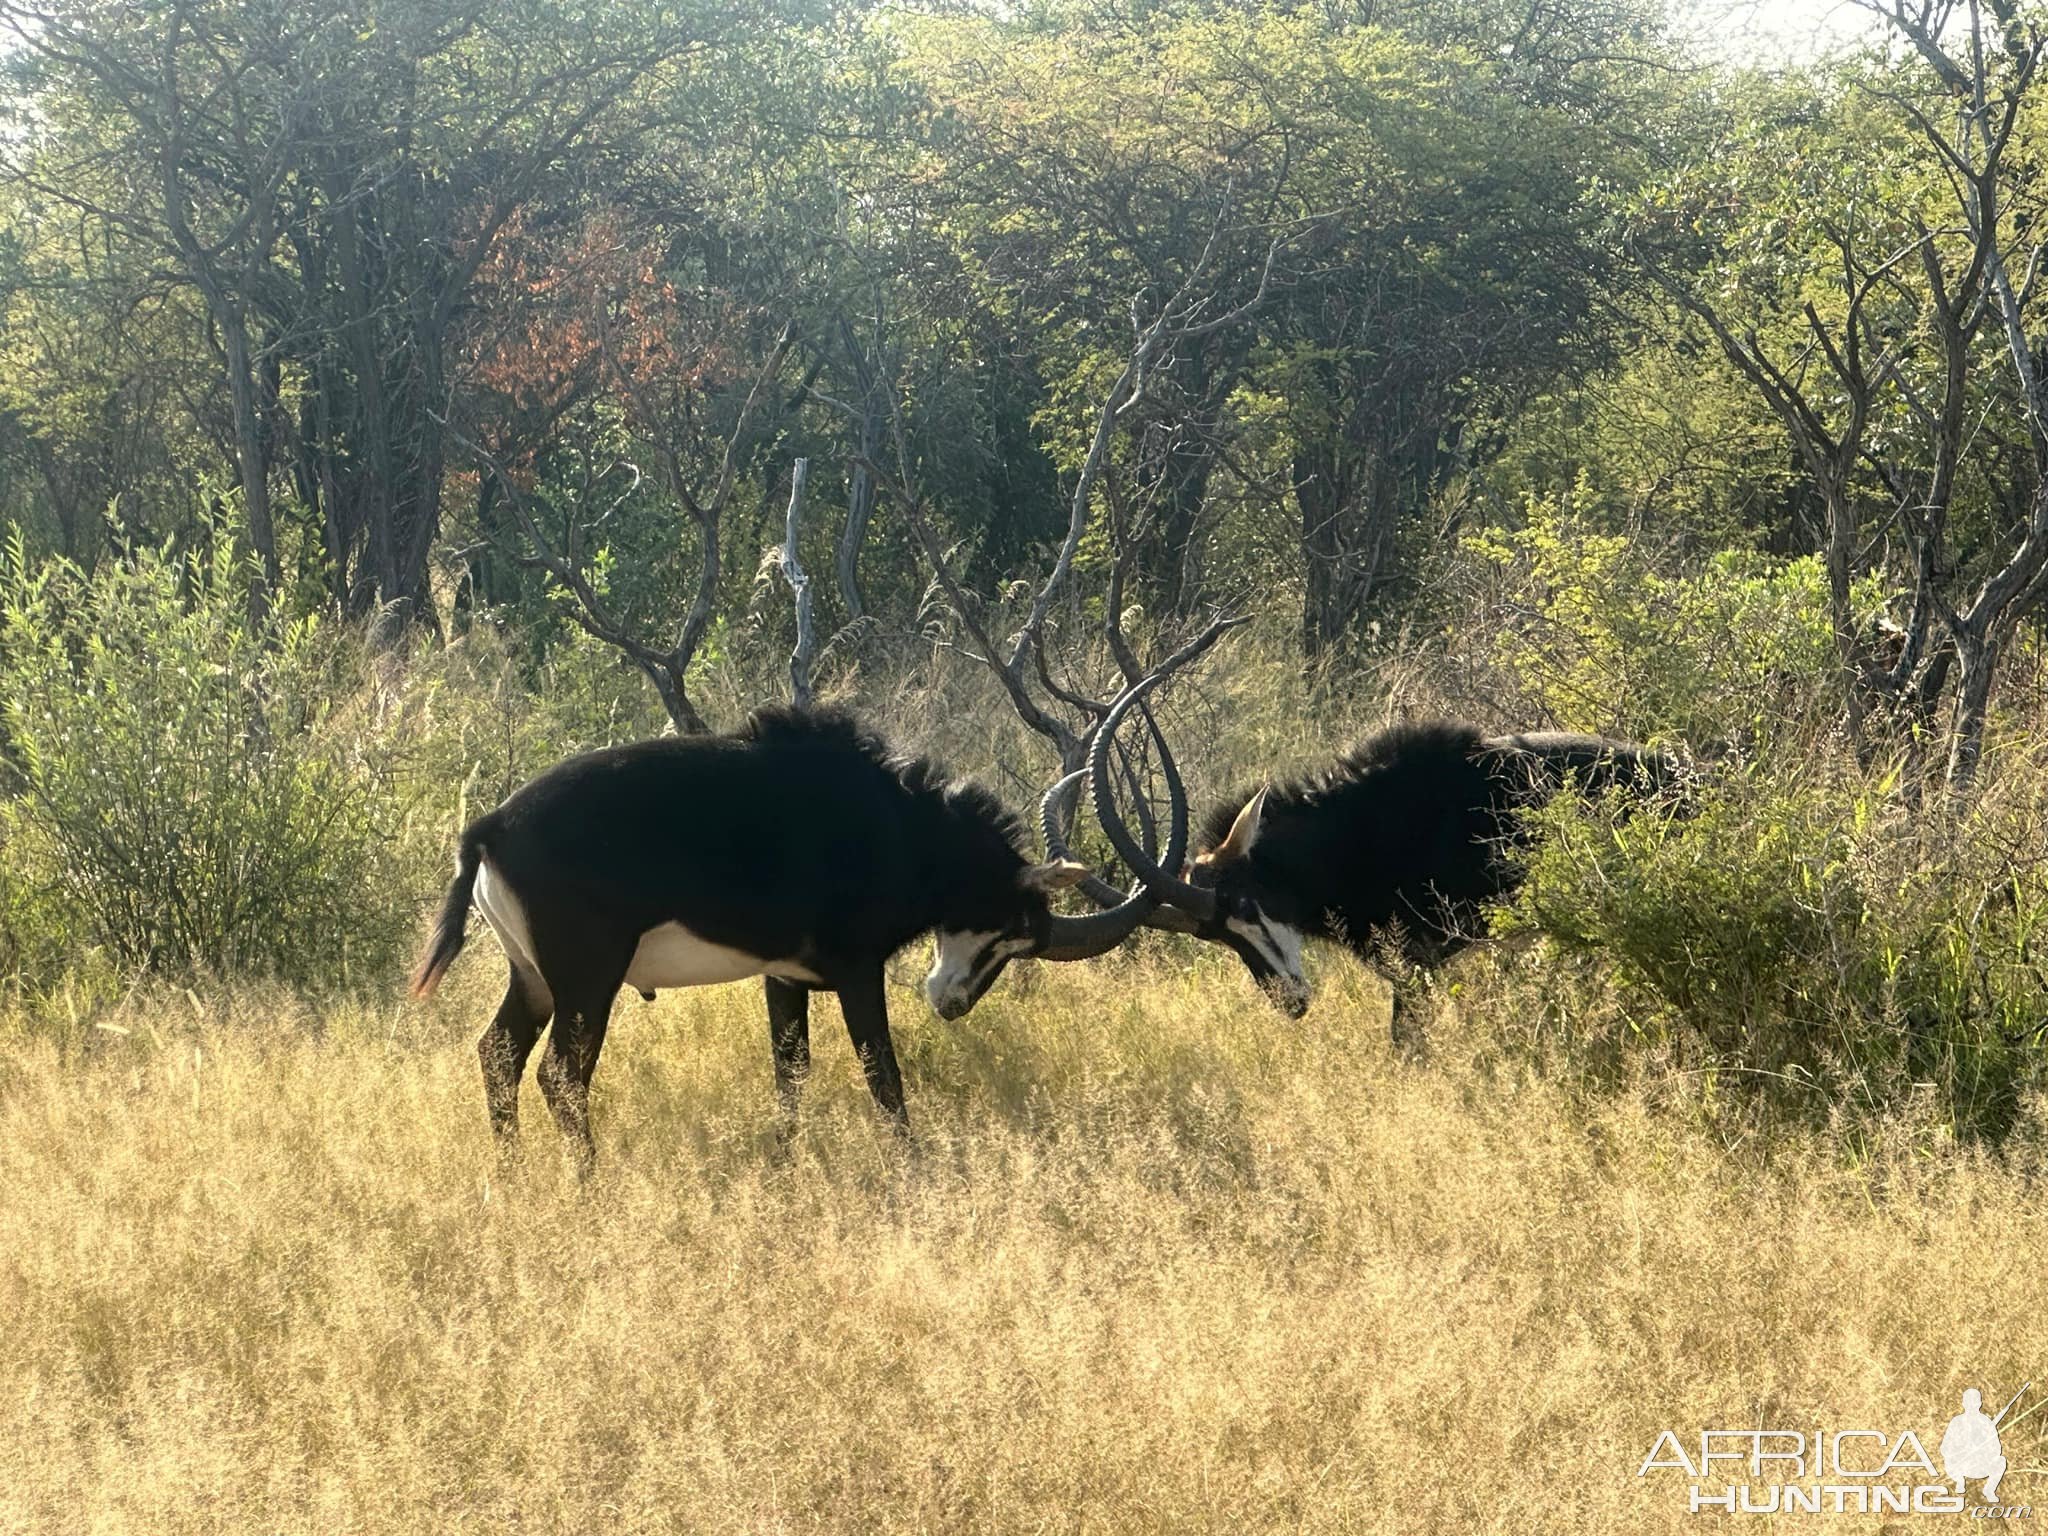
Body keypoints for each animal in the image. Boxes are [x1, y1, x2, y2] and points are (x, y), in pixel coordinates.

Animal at [409, 708, 1171, 1163]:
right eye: (1013, 933)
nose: (952, 1004)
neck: (901, 829)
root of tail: (491, 827)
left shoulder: (783, 974)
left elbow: (791, 1071)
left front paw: (783, 1161)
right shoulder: (856, 971)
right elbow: (882, 1074)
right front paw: (916, 1169)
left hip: (535, 979)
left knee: (498, 1055)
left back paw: (512, 1176)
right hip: (588, 981)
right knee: (561, 1076)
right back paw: (587, 1186)